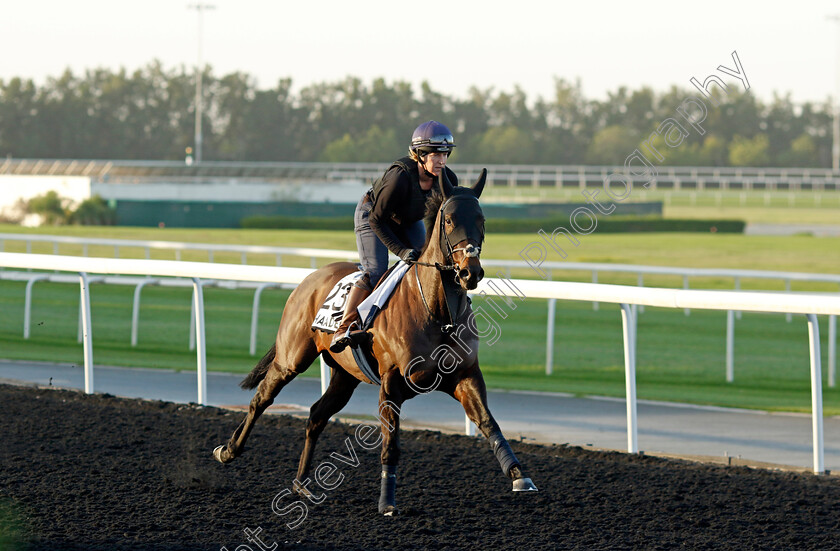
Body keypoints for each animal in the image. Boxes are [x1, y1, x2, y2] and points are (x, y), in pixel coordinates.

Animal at [212, 169, 540, 516]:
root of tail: (309, 279)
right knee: (261, 399)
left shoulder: (465, 376)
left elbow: (489, 423)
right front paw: (387, 501)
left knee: (316, 415)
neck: (437, 311)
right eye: (449, 219)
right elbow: (390, 445)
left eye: (482, 219)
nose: (470, 272)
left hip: (344, 376)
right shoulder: (392, 382)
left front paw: (519, 475)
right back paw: (229, 450)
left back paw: (301, 484)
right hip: (291, 358)